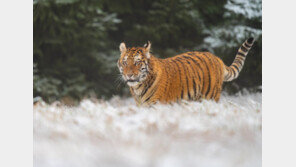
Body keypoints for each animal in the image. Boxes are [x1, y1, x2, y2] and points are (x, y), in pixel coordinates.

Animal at [117, 38, 254, 105]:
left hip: (209, 97)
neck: (138, 87)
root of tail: (217, 58)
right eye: (125, 62)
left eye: (137, 62)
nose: (129, 75)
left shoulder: (156, 105)